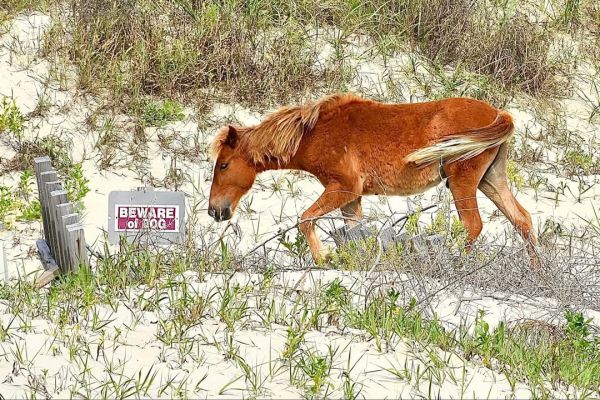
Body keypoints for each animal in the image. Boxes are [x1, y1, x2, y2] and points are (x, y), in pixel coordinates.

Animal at [208, 93, 539, 267]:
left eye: (223, 165)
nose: (215, 211)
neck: (314, 132)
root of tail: (499, 114)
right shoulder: (352, 198)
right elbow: (354, 232)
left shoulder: (343, 188)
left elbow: (305, 220)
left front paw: (323, 258)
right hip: (491, 181)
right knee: (522, 220)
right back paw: (538, 270)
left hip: (463, 182)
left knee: (473, 226)